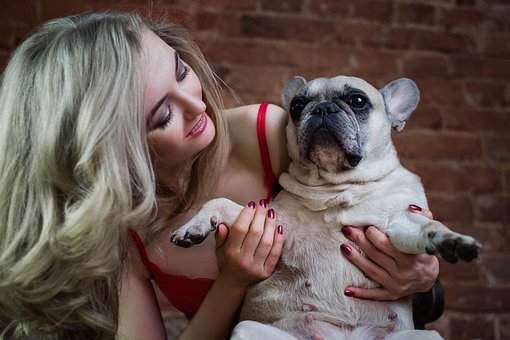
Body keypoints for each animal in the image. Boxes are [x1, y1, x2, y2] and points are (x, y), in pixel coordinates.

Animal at [169, 75, 480, 338]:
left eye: (358, 101)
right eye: (297, 106)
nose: (322, 109)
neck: (338, 188)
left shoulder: (400, 220)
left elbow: (428, 226)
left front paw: (452, 240)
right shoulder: (275, 223)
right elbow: (219, 201)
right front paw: (192, 227)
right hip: (249, 329)